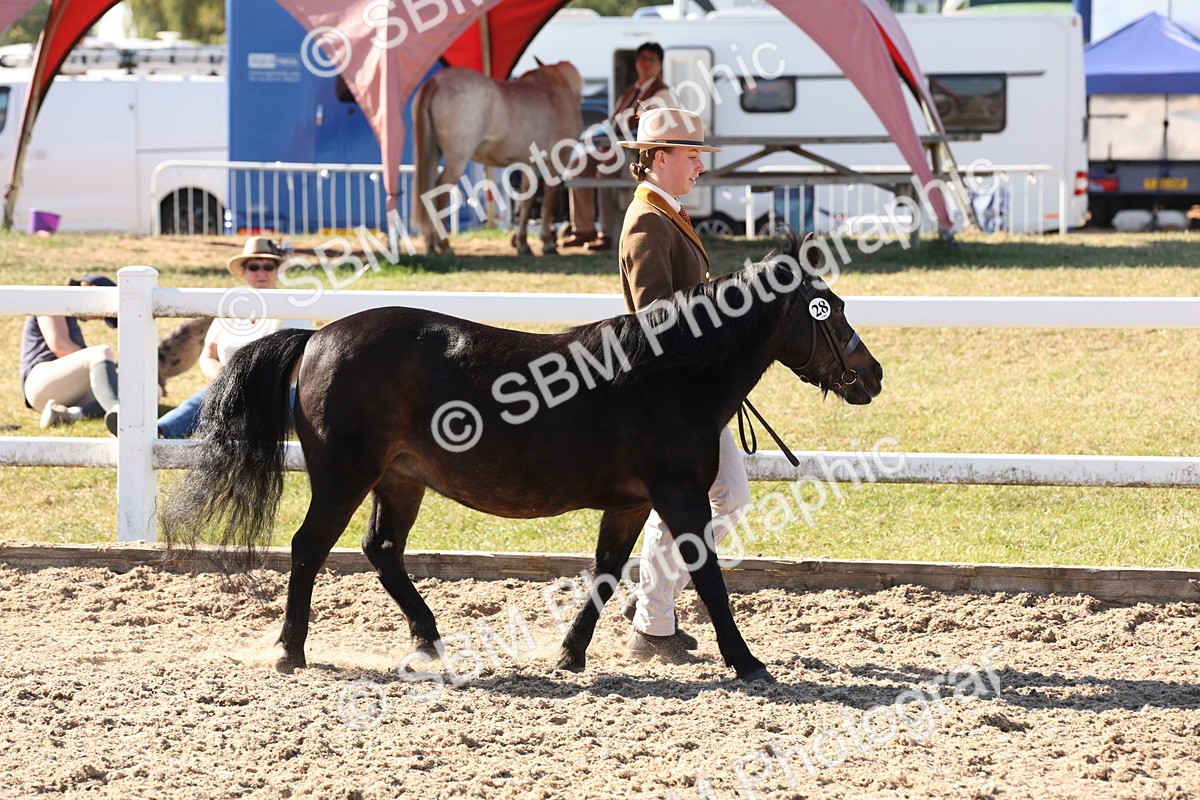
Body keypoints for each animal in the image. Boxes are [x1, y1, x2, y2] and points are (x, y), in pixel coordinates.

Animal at [161, 233, 883, 684]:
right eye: (828, 309)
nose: (872, 375)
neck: (668, 374)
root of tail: (316, 339)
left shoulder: (632, 503)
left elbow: (606, 574)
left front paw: (570, 655)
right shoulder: (678, 494)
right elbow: (706, 577)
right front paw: (748, 661)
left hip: (401, 480)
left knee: (382, 550)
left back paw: (429, 639)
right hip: (345, 476)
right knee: (309, 548)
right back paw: (291, 649)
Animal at [412, 61, 583, 257]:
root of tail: (436, 81)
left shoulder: (529, 165)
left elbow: (527, 202)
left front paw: (523, 243)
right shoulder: (556, 162)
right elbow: (549, 201)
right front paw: (548, 243)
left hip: (433, 153)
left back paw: (431, 245)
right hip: (457, 159)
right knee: (439, 194)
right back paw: (444, 244)